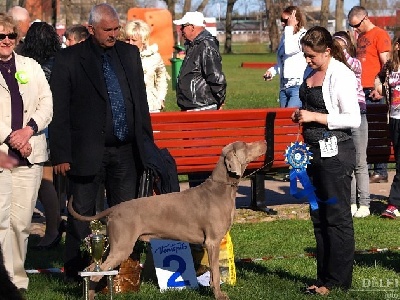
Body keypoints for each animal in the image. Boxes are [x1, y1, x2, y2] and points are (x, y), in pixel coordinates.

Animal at [68, 141, 266, 300]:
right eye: (246, 145)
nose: (264, 141)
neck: (222, 188)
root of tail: (114, 208)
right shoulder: (212, 242)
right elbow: (215, 274)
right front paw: (219, 295)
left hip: (114, 245)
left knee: (90, 269)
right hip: (122, 247)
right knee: (95, 273)